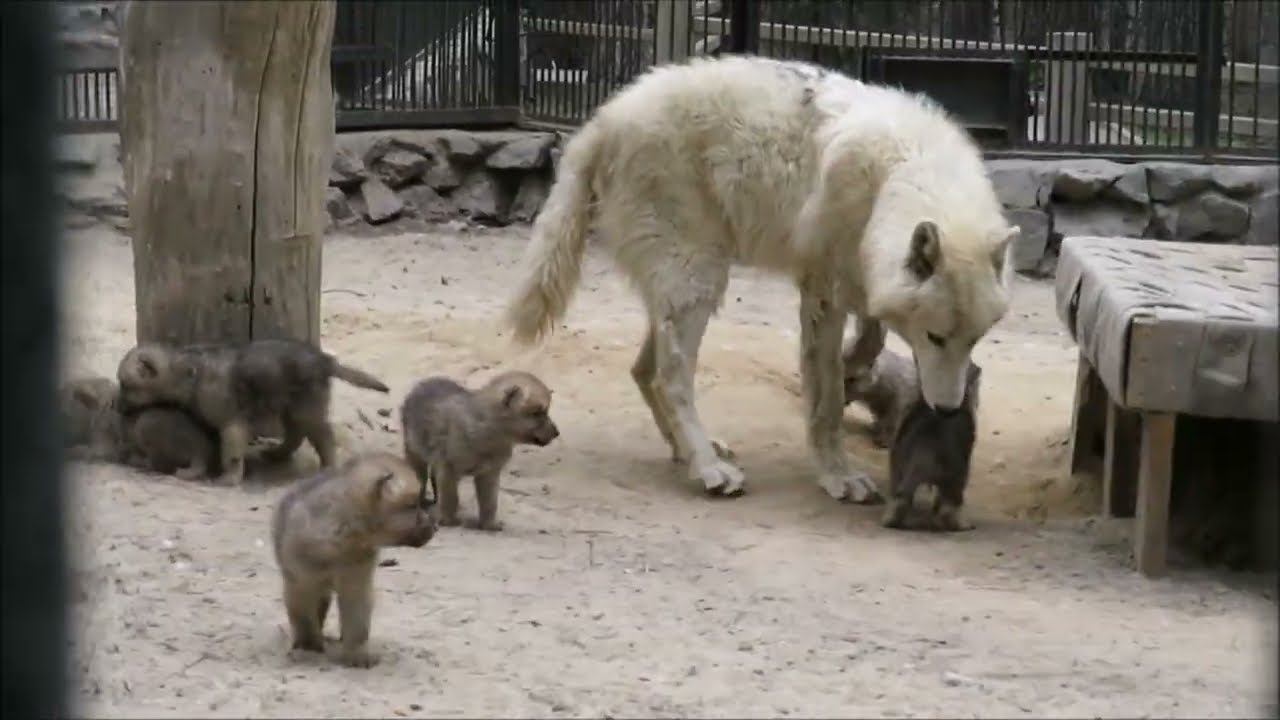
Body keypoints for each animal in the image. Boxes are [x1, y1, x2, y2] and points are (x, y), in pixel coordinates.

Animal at [400, 370, 560, 531]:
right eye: (537, 412)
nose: (557, 433)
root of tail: (423, 383)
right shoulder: (448, 467)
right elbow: (451, 497)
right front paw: (448, 520)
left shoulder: (490, 473)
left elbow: (489, 502)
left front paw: (489, 524)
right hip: (414, 451)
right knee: (421, 479)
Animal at [502, 55, 1017, 503]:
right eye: (935, 337)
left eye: (973, 340)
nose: (947, 410)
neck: (898, 174)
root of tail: (603, 119)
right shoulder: (823, 291)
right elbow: (827, 400)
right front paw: (839, 476)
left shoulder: (860, 280)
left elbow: (870, 336)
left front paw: (854, 364)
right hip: (700, 279)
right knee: (671, 376)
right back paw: (709, 469)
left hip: (682, 284)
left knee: (643, 369)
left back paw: (690, 451)